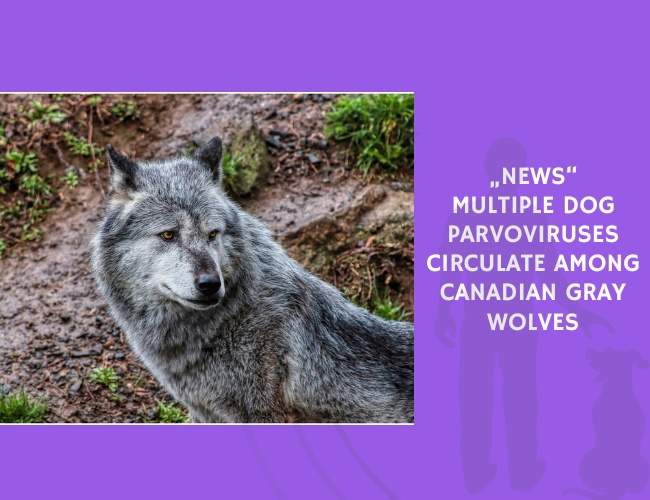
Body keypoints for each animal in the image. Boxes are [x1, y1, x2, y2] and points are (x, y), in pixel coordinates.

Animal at [91, 136, 414, 423]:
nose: (211, 284)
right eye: (168, 234)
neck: (227, 319)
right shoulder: (205, 413)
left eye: (212, 233)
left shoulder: (261, 414)